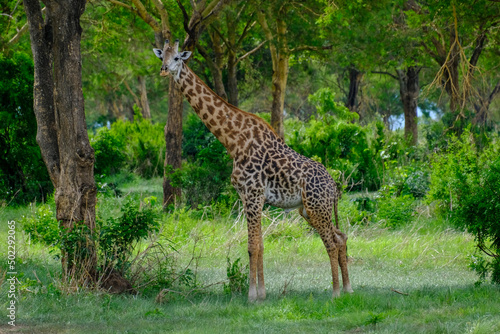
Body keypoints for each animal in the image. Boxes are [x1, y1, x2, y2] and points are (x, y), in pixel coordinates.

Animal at [152, 40, 352, 302]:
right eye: (161, 57)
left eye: (177, 57)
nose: (164, 70)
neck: (233, 141)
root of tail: (333, 186)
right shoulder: (247, 197)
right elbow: (260, 245)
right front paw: (262, 293)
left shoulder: (254, 194)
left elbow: (252, 246)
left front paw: (251, 296)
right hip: (310, 210)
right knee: (341, 237)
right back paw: (348, 288)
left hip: (317, 208)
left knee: (331, 242)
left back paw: (336, 292)